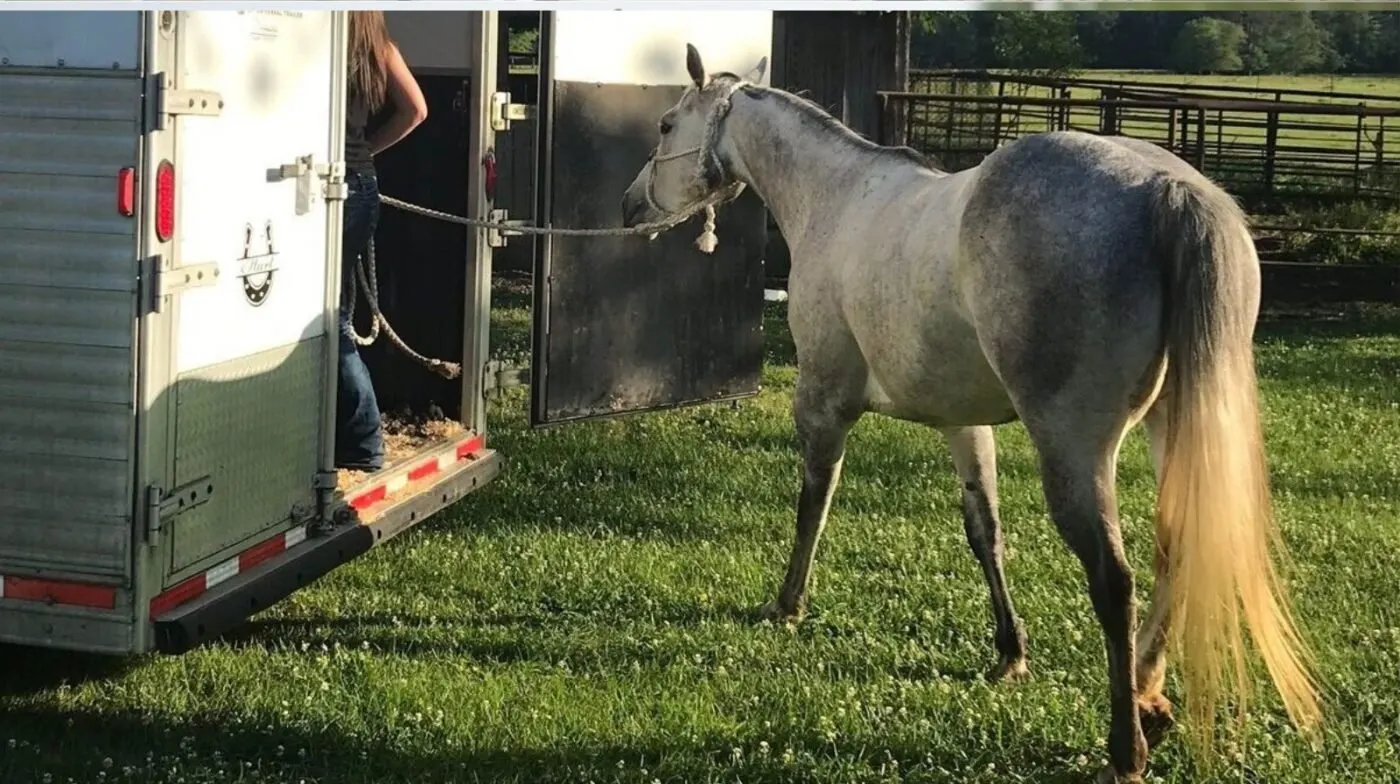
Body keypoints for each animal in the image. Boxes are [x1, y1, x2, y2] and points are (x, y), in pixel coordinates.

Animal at [619, 44, 1322, 782]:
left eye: (666, 124)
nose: (630, 204)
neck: (836, 199)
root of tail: (1167, 188)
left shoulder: (823, 403)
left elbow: (814, 504)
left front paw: (788, 605)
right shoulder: (964, 423)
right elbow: (985, 531)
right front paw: (1010, 652)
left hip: (1073, 448)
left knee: (1114, 579)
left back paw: (1125, 745)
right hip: (1172, 428)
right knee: (1175, 546)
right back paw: (1149, 698)